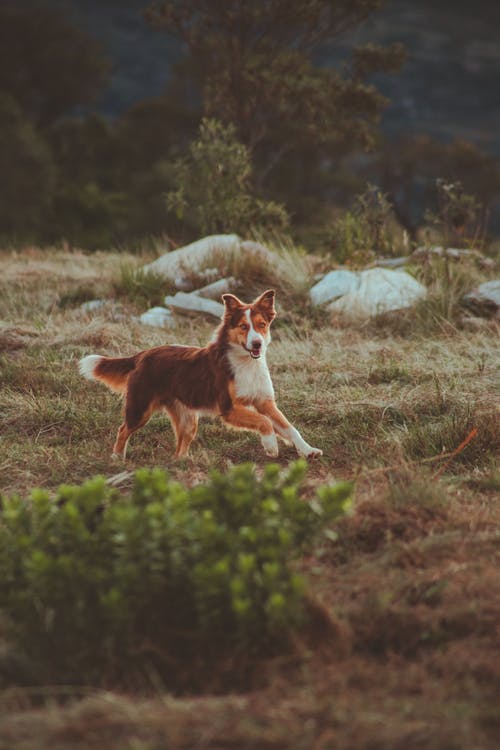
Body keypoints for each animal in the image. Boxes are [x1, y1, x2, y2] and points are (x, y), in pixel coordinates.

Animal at [78, 290, 320, 462]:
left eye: (262, 325)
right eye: (243, 327)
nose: (257, 344)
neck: (245, 362)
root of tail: (142, 354)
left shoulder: (264, 401)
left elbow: (289, 428)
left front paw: (308, 450)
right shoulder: (229, 408)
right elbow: (264, 422)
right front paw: (270, 445)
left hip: (188, 420)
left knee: (180, 445)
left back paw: (183, 462)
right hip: (141, 408)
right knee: (123, 430)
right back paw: (117, 457)